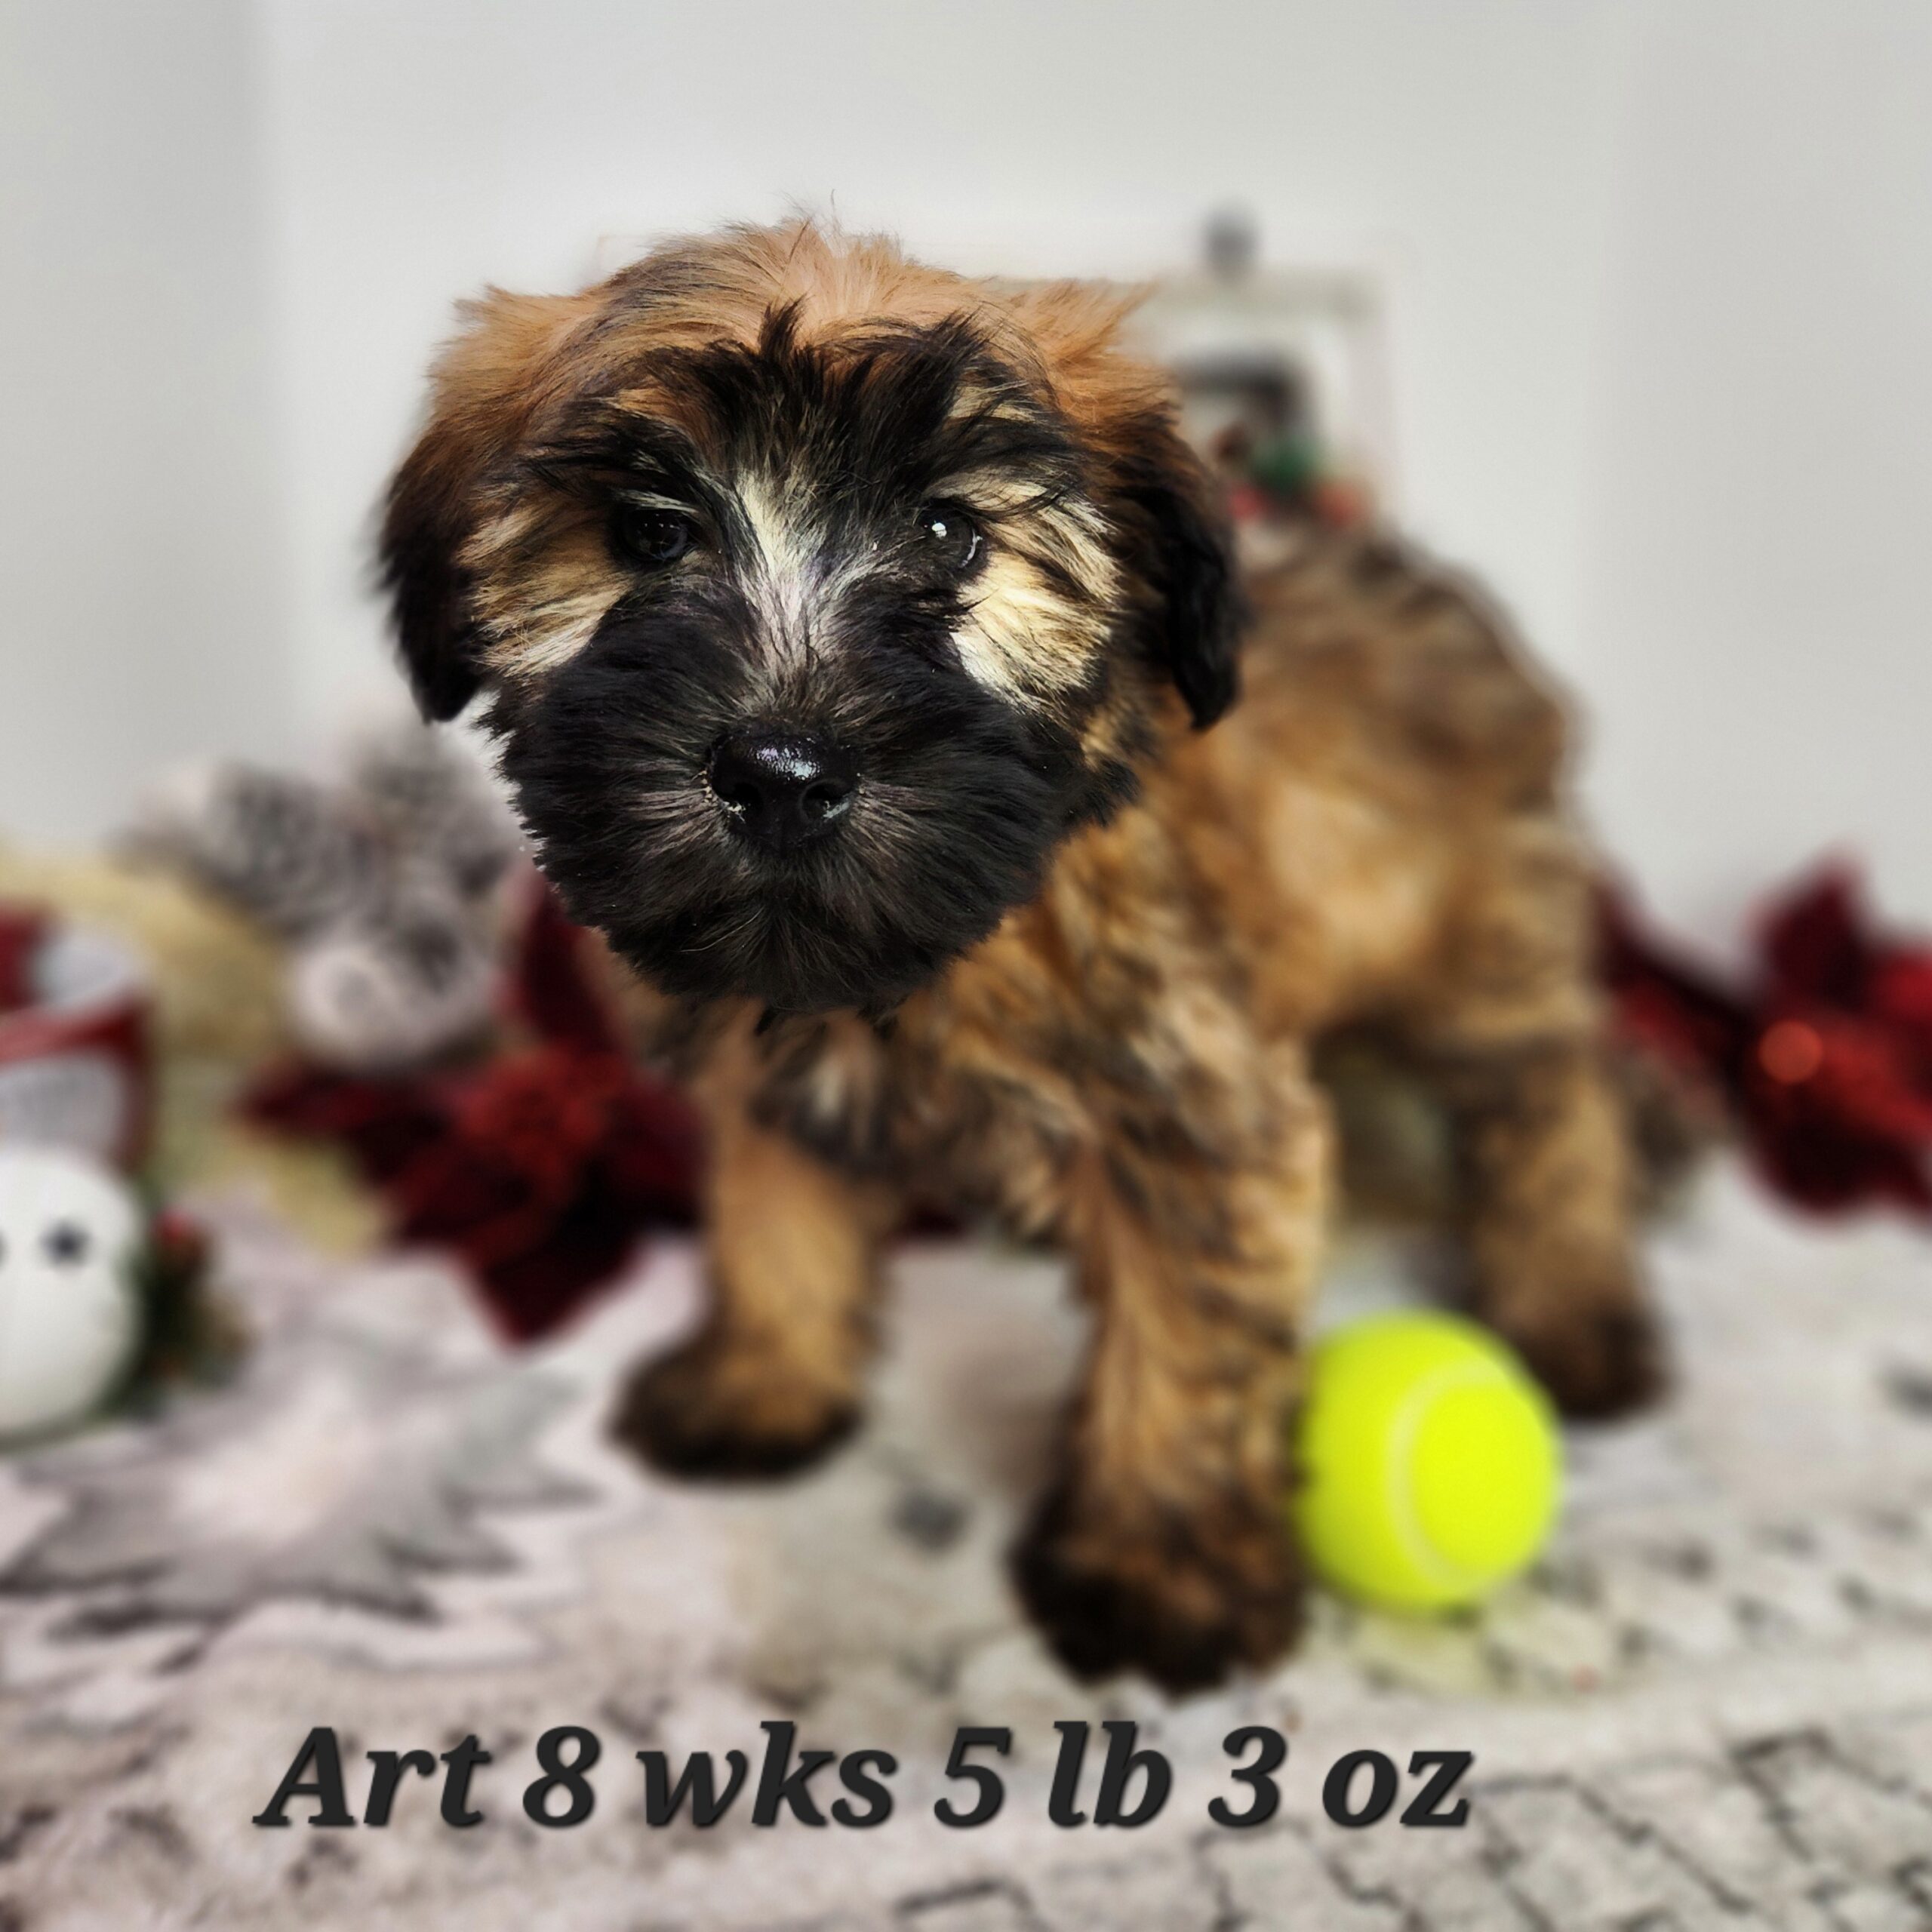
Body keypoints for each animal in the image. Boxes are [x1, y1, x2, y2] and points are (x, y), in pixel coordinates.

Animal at [380, 215, 1661, 1692]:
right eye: (650, 534)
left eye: (951, 534)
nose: (780, 773)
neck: (921, 951)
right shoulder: (765, 1073)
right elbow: (771, 1225)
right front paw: (764, 1380)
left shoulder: (1197, 1110)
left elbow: (1184, 1344)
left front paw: (1158, 1570)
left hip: (1480, 947)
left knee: (1555, 1102)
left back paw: (1572, 1311)